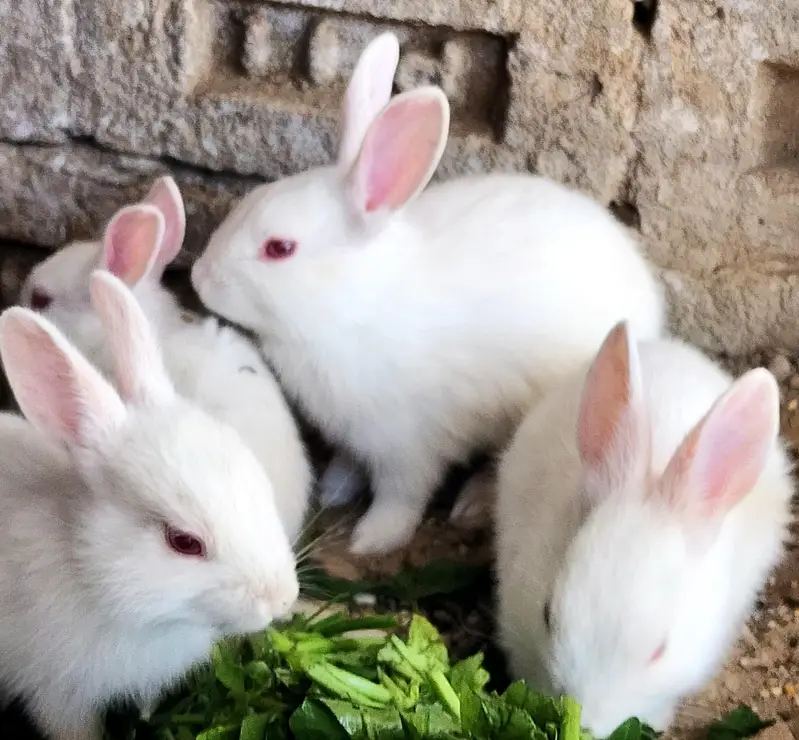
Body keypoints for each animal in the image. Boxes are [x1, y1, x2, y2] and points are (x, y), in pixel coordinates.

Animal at [190, 31, 666, 556]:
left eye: (279, 248)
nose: (198, 277)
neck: (353, 306)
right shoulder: (357, 436)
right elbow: (350, 463)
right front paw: (334, 489)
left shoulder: (407, 445)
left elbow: (402, 496)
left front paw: (371, 538)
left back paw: (473, 503)